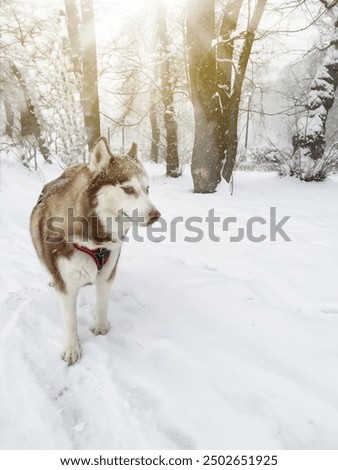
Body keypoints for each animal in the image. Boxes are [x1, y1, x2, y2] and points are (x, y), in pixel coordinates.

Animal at [30, 138, 160, 366]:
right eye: (128, 189)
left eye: (147, 189)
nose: (156, 215)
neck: (94, 241)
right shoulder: (67, 286)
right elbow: (70, 320)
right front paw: (71, 348)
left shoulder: (107, 273)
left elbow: (102, 303)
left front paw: (100, 326)